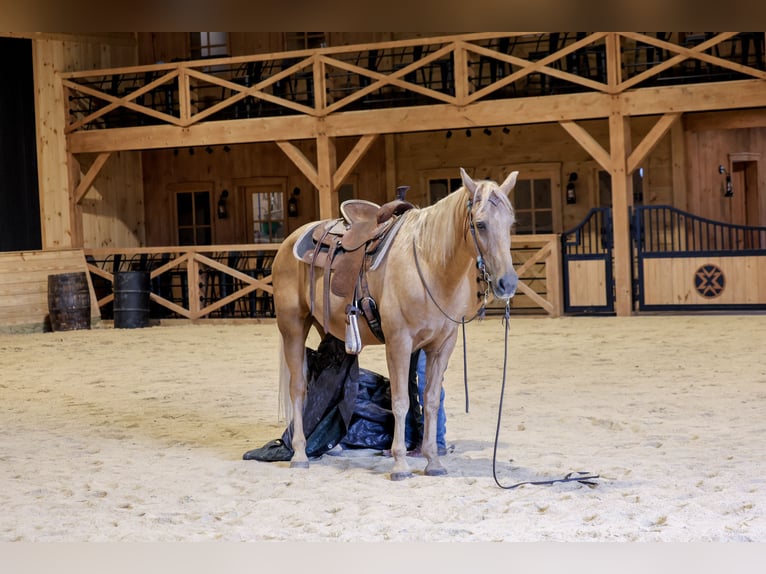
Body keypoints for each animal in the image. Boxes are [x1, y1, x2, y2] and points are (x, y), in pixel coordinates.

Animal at [271, 167, 519, 480]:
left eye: (510, 223)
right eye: (481, 224)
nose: (507, 283)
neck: (428, 263)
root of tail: (289, 243)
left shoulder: (442, 345)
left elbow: (430, 401)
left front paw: (433, 461)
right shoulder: (399, 342)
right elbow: (400, 402)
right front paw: (400, 464)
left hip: (327, 330)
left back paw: (332, 447)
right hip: (292, 327)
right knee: (298, 387)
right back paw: (300, 454)